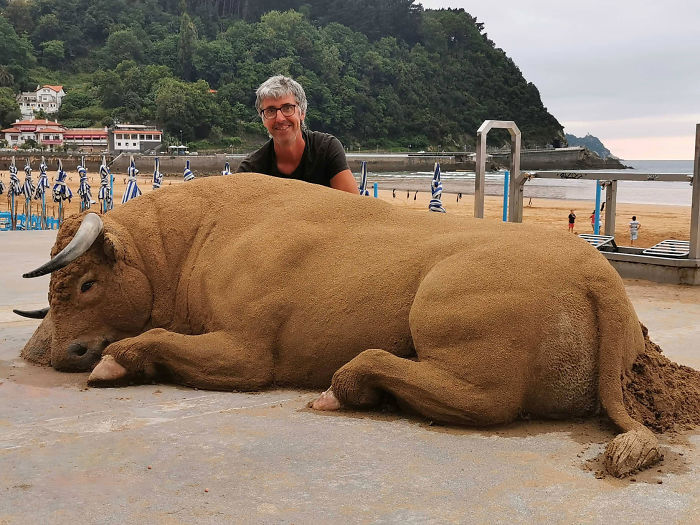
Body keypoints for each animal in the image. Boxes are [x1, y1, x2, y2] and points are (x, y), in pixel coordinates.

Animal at [18, 174, 662, 478]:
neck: (192, 241)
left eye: (86, 283)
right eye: (55, 290)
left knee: (482, 400)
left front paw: (113, 360)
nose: (54, 352)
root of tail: (597, 274)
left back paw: (348, 384)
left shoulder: (246, 353)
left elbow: (151, 338)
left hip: (447, 311)